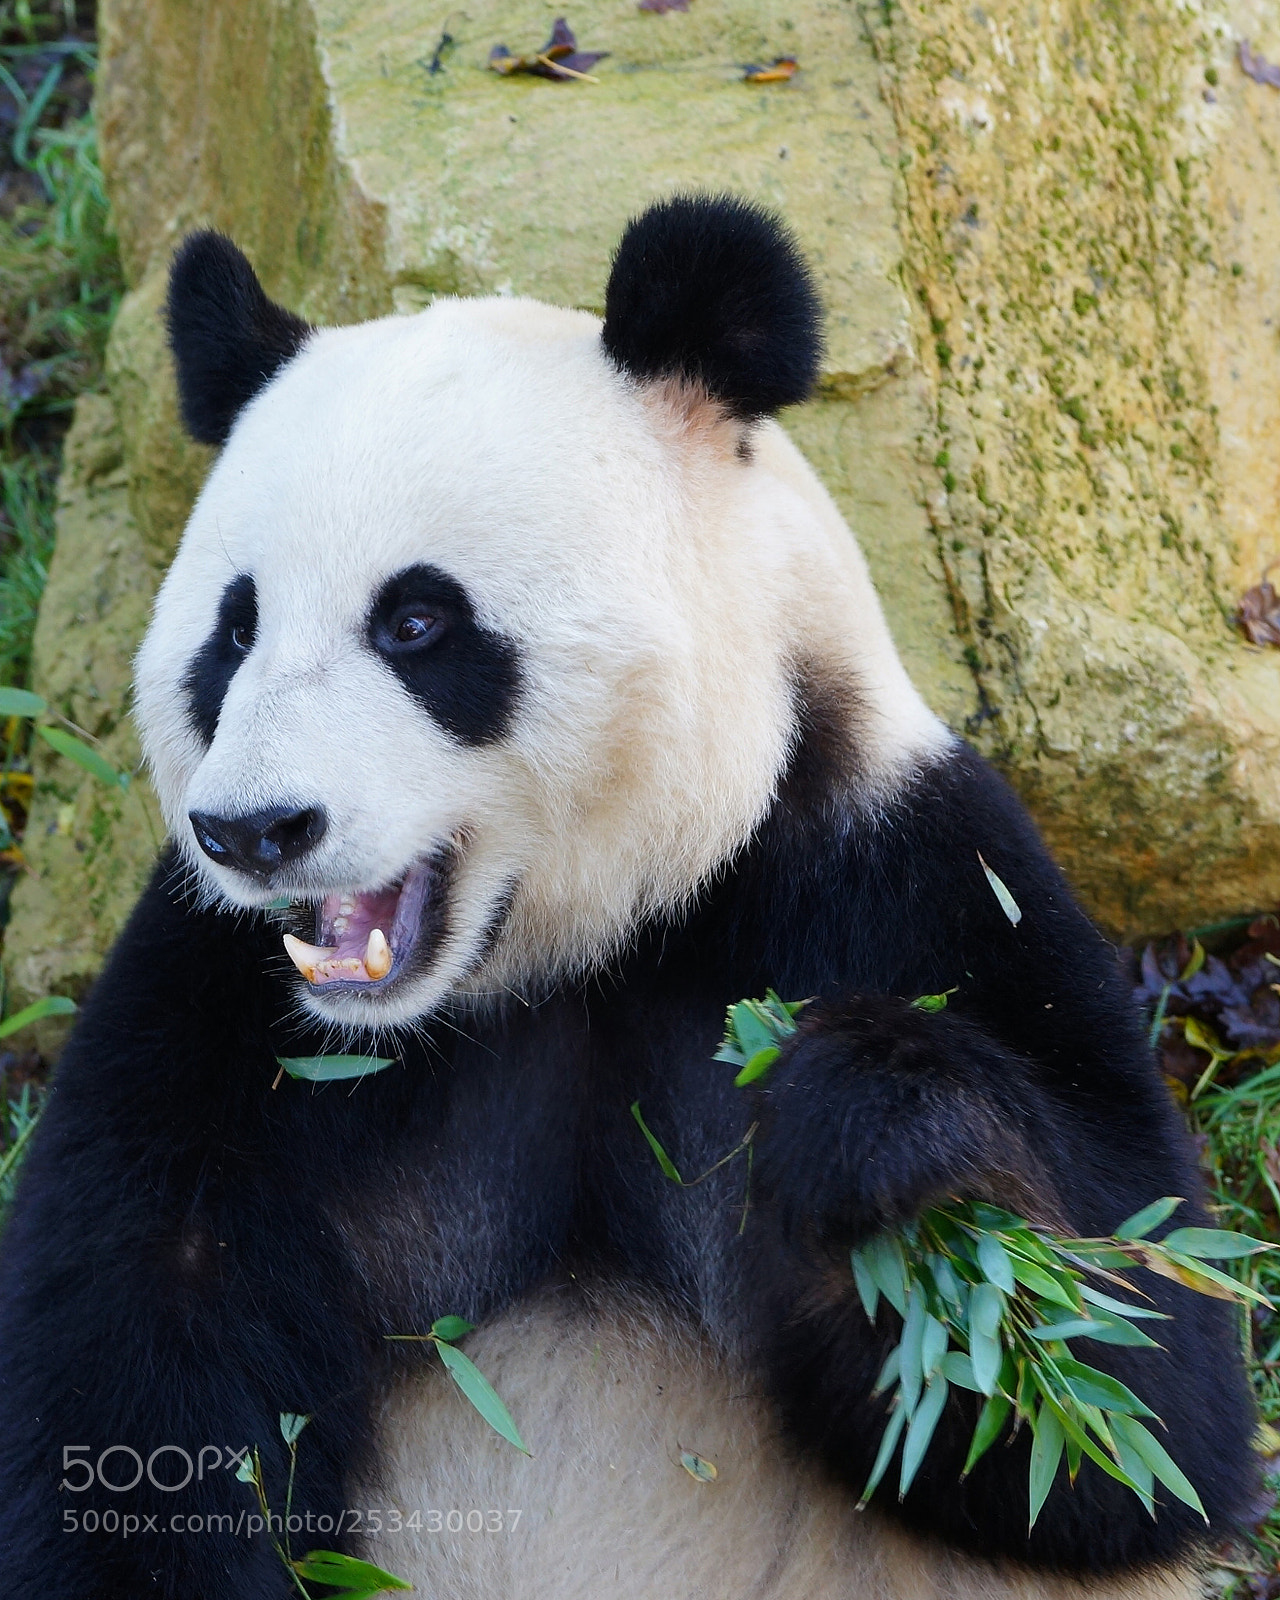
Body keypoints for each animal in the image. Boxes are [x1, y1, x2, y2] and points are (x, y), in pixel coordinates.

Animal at [0, 195, 1255, 1599]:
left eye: (417, 623)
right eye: (233, 629)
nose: (255, 831)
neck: (568, 953)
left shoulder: (890, 878)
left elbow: (1123, 1393)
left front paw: (869, 1122)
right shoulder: (214, 1014)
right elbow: (128, 1372)